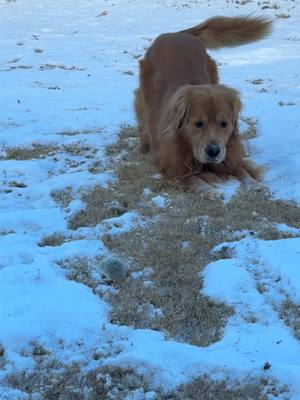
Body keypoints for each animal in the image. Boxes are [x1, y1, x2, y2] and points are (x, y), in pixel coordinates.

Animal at [134, 16, 272, 195]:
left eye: (224, 124)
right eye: (198, 124)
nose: (213, 151)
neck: (187, 146)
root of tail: (176, 33)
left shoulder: (229, 156)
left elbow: (241, 169)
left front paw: (254, 183)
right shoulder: (171, 167)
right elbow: (192, 179)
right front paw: (208, 190)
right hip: (144, 97)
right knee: (144, 123)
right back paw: (142, 147)